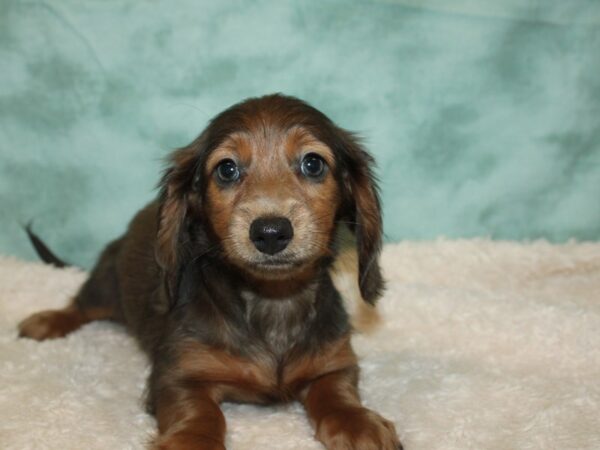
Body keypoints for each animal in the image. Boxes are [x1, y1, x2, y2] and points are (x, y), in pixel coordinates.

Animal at [18, 93, 404, 448]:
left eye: (313, 164)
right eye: (227, 169)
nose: (270, 233)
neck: (273, 300)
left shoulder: (333, 363)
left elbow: (337, 394)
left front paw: (359, 423)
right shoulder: (177, 375)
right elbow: (201, 413)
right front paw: (192, 440)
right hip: (105, 283)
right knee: (80, 305)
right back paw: (46, 322)